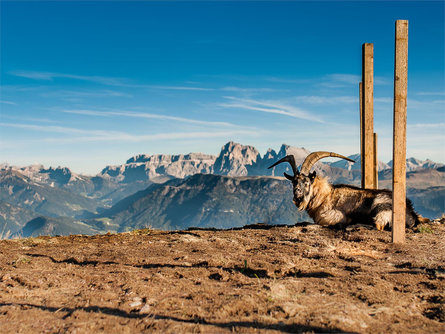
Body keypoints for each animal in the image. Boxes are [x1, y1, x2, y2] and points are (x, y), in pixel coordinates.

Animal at [268, 151, 424, 230]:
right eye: (293, 182)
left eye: (306, 182)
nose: (297, 194)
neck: (326, 196)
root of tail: (410, 213)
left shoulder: (331, 217)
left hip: (380, 208)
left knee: (378, 225)